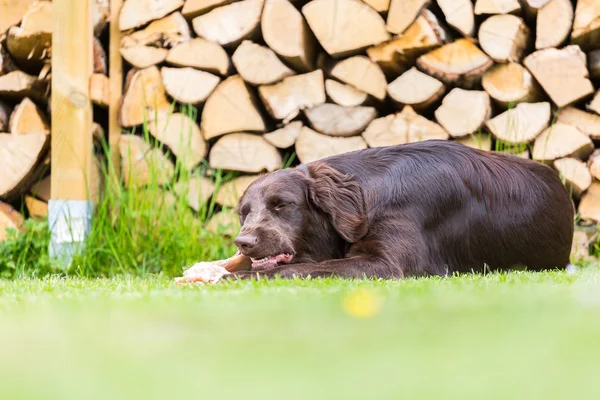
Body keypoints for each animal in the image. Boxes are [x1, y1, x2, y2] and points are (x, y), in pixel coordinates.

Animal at [227, 141, 576, 282]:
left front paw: (234, 276)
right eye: (244, 213)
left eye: (282, 205)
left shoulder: (387, 266)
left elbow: (297, 269)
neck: (366, 198)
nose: (243, 243)